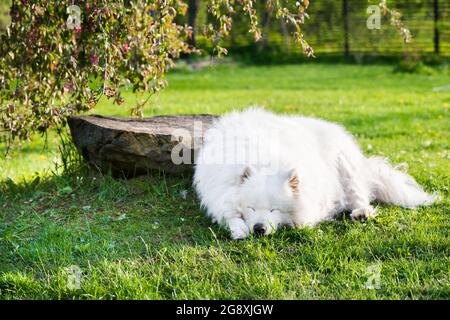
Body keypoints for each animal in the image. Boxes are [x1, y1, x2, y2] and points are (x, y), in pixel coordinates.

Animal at [193, 109, 436, 239]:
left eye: (274, 209)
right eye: (251, 208)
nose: (259, 228)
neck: (262, 159)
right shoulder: (219, 192)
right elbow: (230, 215)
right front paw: (239, 230)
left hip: (345, 166)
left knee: (358, 194)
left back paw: (361, 213)